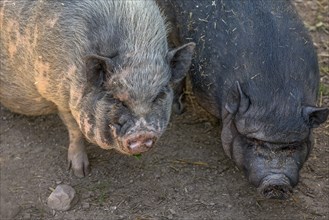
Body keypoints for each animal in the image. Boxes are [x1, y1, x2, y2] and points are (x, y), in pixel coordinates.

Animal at [0, 0, 195, 177]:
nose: (142, 134)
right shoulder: (58, 93)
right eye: (116, 98)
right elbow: (74, 130)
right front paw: (80, 173)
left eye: (158, 95)